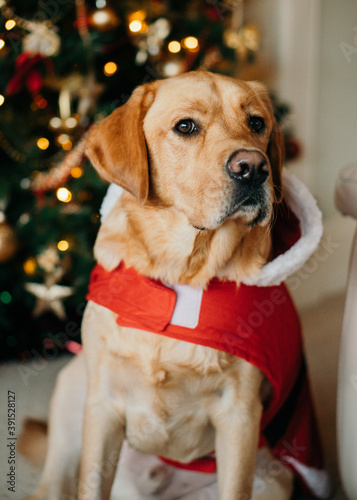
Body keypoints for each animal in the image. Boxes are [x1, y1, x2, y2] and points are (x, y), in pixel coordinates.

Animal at [23, 71, 328, 500]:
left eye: (257, 123)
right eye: (185, 127)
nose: (253, 167)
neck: (184, 273)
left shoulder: (239, 414)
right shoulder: (102, 407)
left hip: (274, 478)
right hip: (72, 397)